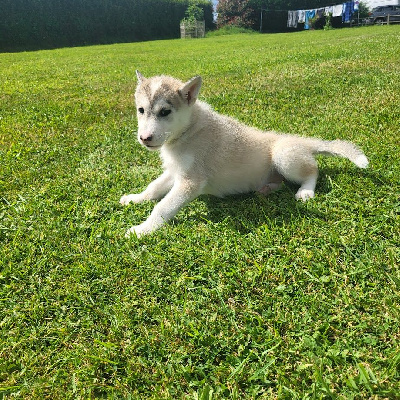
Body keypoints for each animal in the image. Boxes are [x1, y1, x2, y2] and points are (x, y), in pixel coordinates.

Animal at [119, 71, 368, 238]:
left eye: (165, 112)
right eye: (141, 110)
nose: (144, 138)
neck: (188, 131)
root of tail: (299, 140)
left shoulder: (191, 181)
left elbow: (163, 207)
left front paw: (143, 229)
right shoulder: (175, 171)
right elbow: (153, 188)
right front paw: (135, 198)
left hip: (284, 155)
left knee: (314, 171)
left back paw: (305, 191)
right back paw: (267, 189)